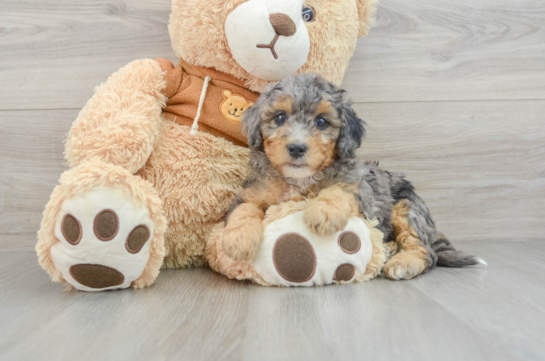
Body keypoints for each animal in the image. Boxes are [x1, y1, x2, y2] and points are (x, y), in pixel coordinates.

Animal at [221, 73, 480, 280]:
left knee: (426, 252)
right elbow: (244, 209)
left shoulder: (363, 193)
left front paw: (323, 212)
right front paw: (239, 239)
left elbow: (339, 189)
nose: (296, 148)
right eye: (280, 117)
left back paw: (403, 263)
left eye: (321, 122)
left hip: (408, 207)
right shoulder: (250, 192)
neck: (299, 180)